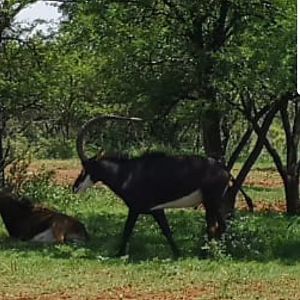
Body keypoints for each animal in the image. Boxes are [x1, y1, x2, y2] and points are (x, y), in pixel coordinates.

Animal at [72, 116, 230, 256]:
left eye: (86, 167)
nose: (75, 187)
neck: (126, 173)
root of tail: (224, 170)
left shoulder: (135, 209)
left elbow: (127, 230)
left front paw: (119, 254)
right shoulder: (156, 210)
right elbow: (166, 231)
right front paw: (178, 254)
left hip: (213, 201)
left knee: (220, 226)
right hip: (209, 203)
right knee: (213, 227)